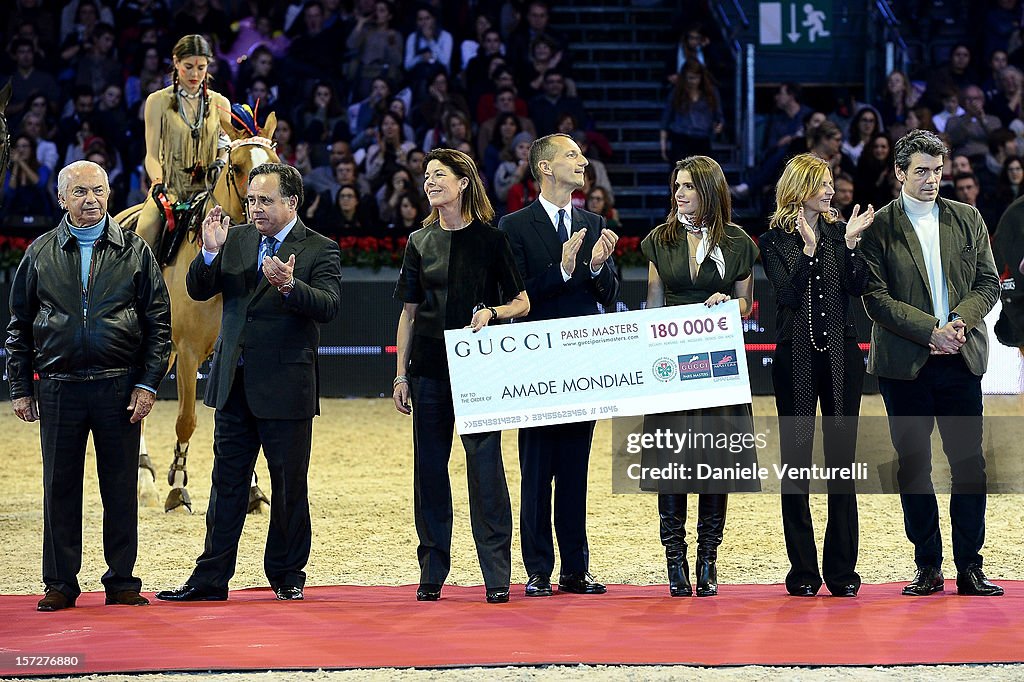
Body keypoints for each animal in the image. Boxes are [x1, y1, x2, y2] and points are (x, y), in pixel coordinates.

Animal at [116, 111, 280, 507]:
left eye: (275, 163)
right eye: (236, 167)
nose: (261, 207)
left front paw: (252, 487)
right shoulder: (190, 354)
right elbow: (186, 419)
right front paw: (178, 483)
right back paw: (144, 479)